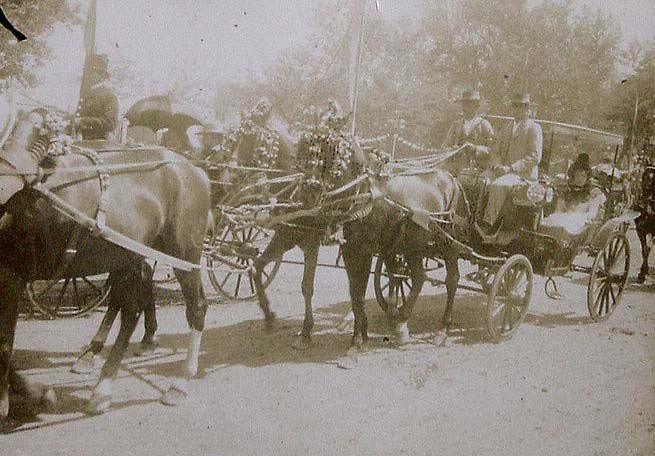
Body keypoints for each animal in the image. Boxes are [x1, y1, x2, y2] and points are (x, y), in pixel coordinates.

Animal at [0, 107, 210, 424]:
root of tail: (193, 169)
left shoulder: (10, 275)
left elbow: (3, 345)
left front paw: (26, 397)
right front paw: (30, 395)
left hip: (184, 253)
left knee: (194, 308)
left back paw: (180, 381)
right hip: (128, 255)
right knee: (130, 308)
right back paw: (104, 380)